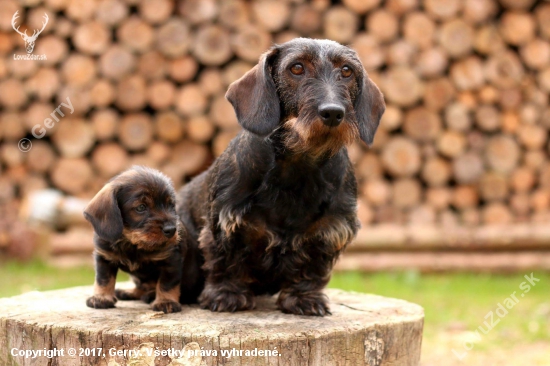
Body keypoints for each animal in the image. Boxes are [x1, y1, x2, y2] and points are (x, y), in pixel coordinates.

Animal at [84, 166, 192, 312]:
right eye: (141, 207)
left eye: (171, 205)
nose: (171, 230)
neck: (132, 244)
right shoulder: (104, 257)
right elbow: (103, 279)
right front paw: (101, 297)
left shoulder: (172, 261)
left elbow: (167, 283)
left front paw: (166, 301)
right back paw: (129, 292)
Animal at [179, 38, 386, 316]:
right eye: (297, 68)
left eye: (346, 70)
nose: (333, 113)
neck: (298, 167)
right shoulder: (224, 223)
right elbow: (224, 260)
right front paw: (226, 295)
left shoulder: (330, 230)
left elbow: (312, 269)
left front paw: (305, 299)